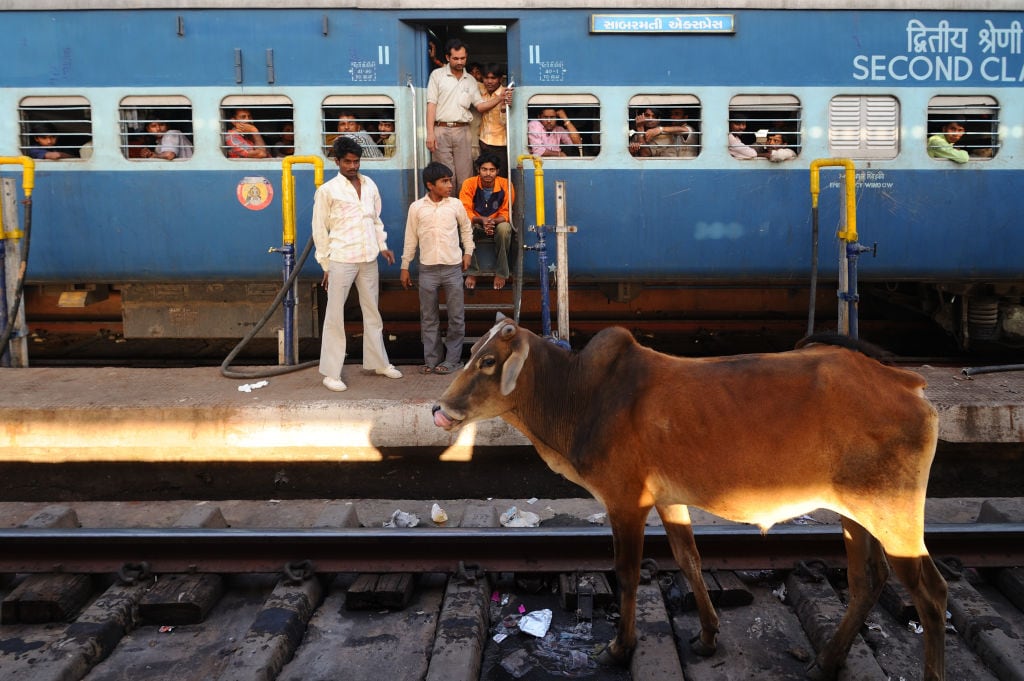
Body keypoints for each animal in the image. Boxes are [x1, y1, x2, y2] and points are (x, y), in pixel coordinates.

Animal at [432, 315, 950, 675]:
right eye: (472, 352)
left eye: (488, 361)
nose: (439, 408)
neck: (579, 394)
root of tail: (905, 381)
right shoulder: (668, 499)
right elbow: (689, 559)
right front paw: (706, 635)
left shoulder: (625, 501)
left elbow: (626, 573)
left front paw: (619, 648)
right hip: (857, 512)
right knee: (867, 580)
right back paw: (826, 660)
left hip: (894, 512)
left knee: (932, 593)